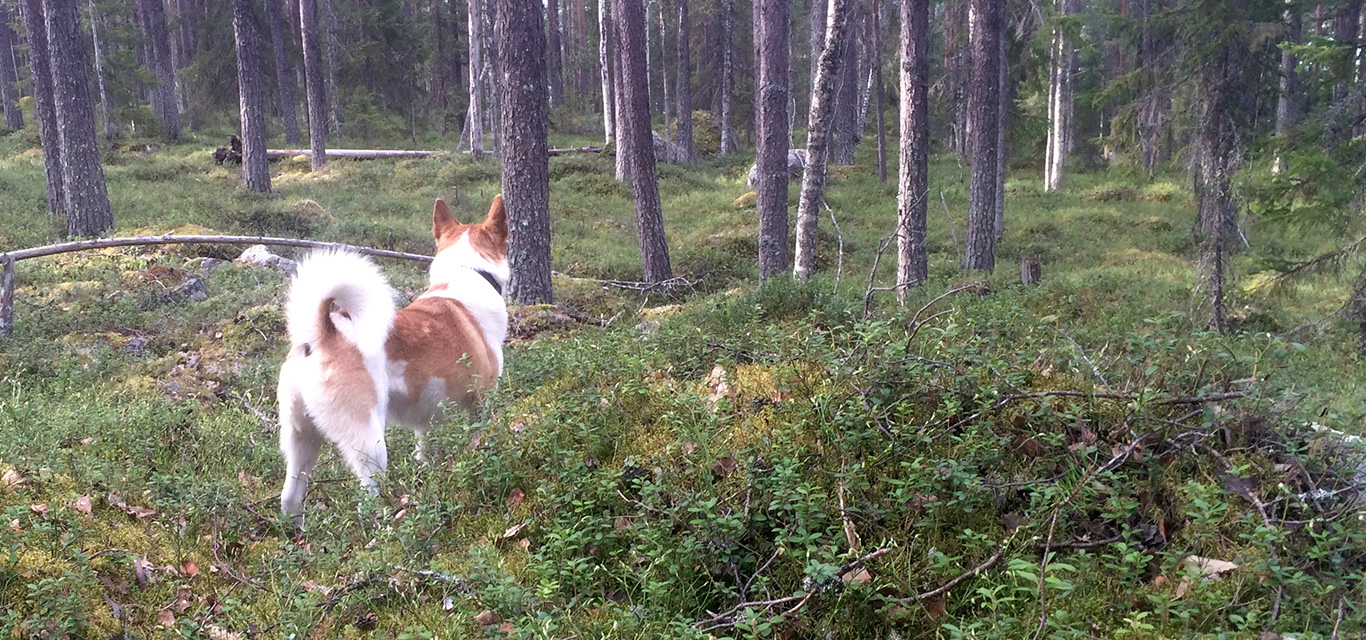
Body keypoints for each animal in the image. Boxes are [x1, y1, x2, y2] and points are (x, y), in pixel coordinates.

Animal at [277, 193, 508, 518]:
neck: (467, 273)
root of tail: (322, 333)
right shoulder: (481, 401)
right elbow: (480, 437)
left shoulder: (425, 417)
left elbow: (424, 449)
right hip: (370, 444)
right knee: (367, 500)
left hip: (302, 440)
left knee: (289, 497)